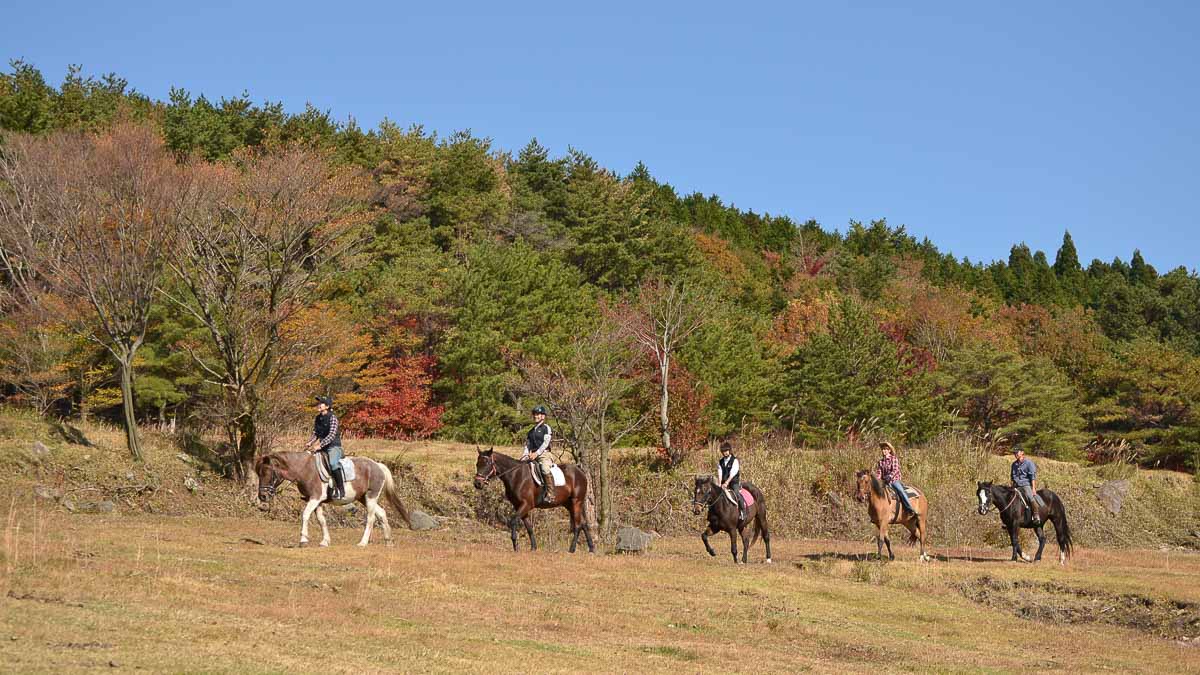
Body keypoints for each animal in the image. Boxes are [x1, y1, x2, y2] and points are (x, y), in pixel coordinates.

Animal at [254, 446, 412, 547]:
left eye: (267, 473)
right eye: (258, 473)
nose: (263, 496)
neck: (304, 469)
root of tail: (378, 466)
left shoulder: (315, 498)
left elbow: (305, 515)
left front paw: (303, 540)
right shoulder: (317, 501)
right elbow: (321, 520)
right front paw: (325, 541)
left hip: (371, 497)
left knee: (371, 518)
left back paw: (363, 543)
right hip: (364, 498)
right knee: (382, 513)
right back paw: (388, 541)